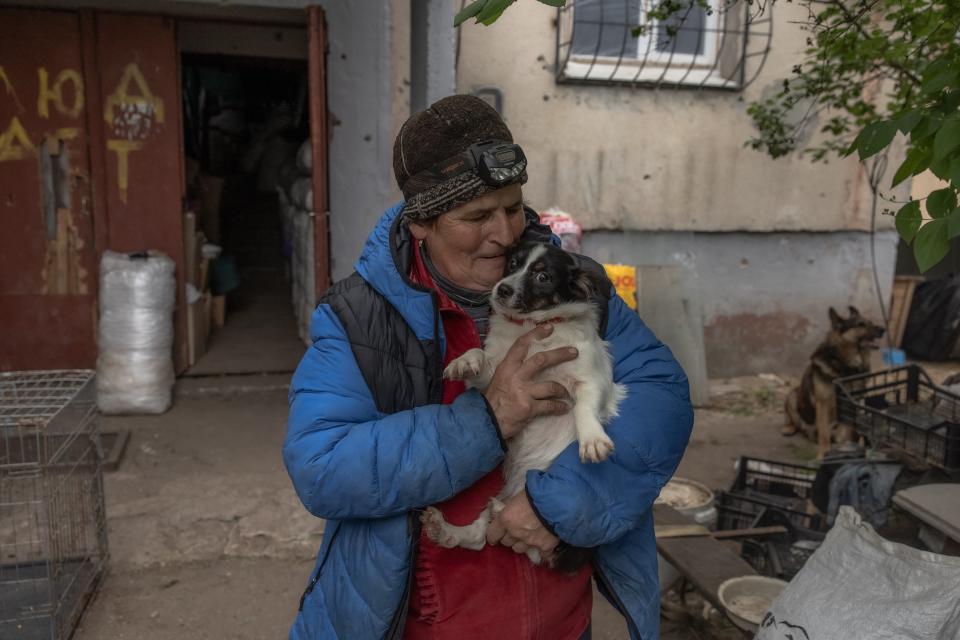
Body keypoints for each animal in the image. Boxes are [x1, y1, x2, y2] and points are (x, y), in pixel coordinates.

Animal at [420, 242, 624, 568]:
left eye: (543, 276)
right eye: (512, 264)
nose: (502, 289)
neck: (532, 325)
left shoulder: (592, 380)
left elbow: (582, 408)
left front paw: (592, 440)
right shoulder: (496, 376)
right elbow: (480, 354)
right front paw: (464, 361)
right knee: (480, 537)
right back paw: (449, 530)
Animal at [780, 308, 884, 458]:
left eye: (870, 322)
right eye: (860, 324)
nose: (883, 329)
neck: (847, 367)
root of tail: (808, 432)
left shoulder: (853, 404)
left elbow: (851, 430)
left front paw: (850, 447)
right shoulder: (822, 403)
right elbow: (824, 434)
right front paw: (823, 454)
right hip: (793, 396)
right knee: (794, 419)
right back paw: (789, 428)